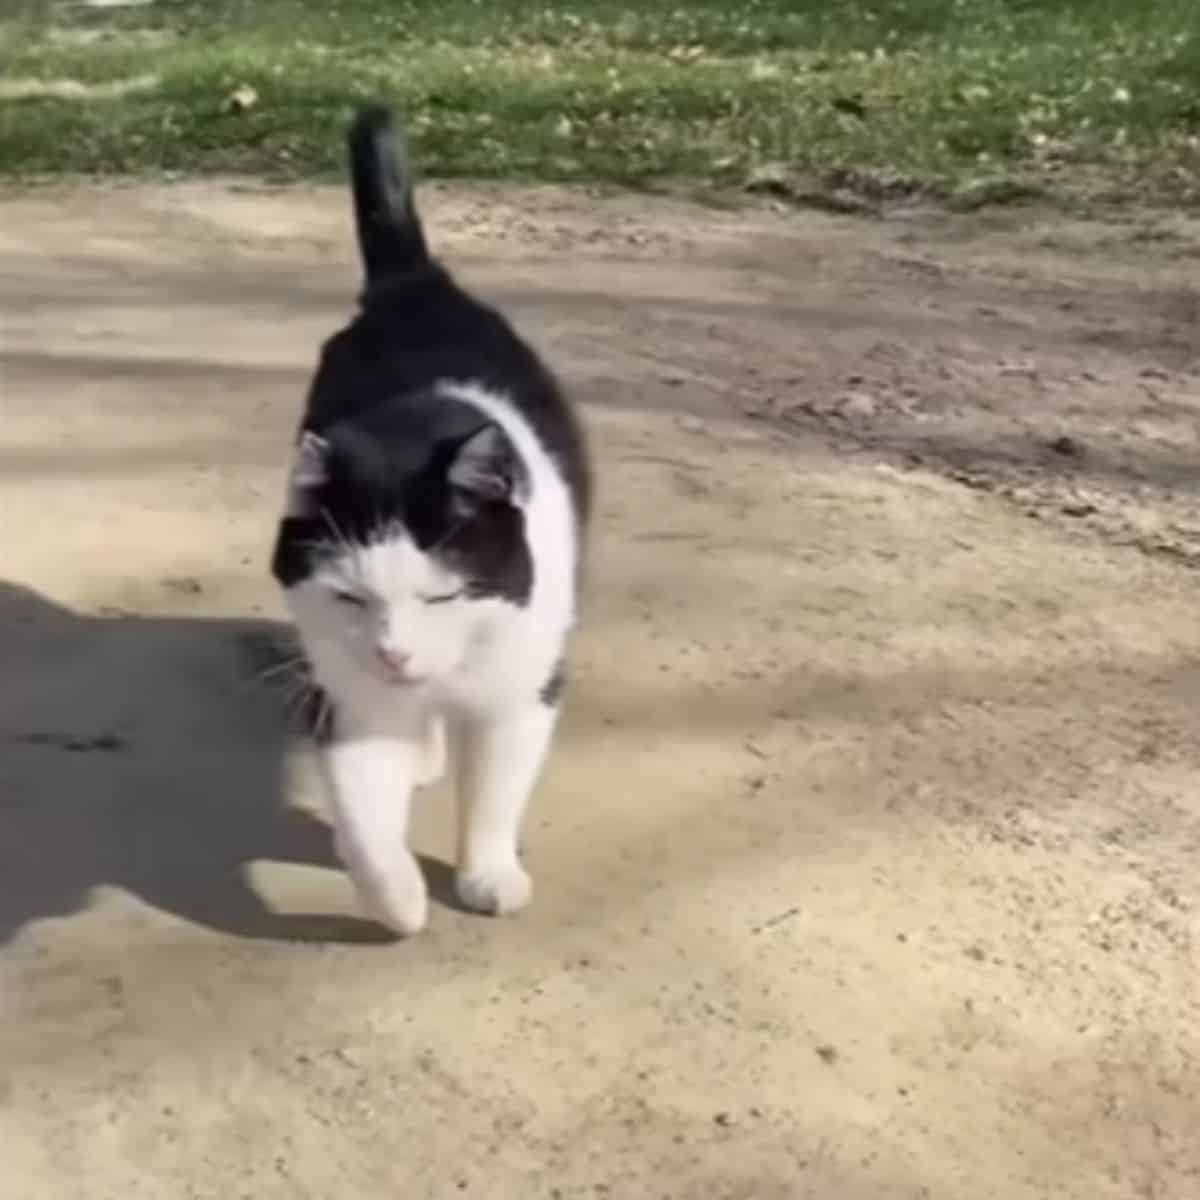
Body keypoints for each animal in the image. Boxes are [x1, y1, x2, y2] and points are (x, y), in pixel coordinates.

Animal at [271, 105, 590, 936]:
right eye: (350, 597)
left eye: (444, 595)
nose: (395, 655)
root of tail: (414, 284)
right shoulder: (352, 699)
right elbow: (363, 821)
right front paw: (399, 901)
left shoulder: (522, 690)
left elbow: (496, 791)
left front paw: (487, 873)